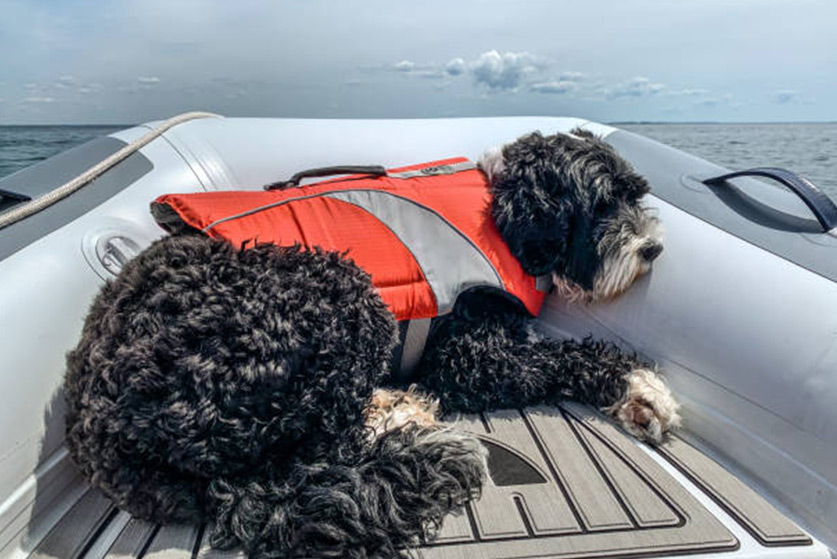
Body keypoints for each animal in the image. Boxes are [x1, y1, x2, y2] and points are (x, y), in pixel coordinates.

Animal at [64, 129, 679, 559]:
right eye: (600, 205)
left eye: (635, 196)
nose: (653, 249)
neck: (499, 210)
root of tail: (102, 433)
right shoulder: (469, 358)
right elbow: (561, 356)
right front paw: (639, 386)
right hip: (342, 297)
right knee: (322, 453)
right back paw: (399, 417)